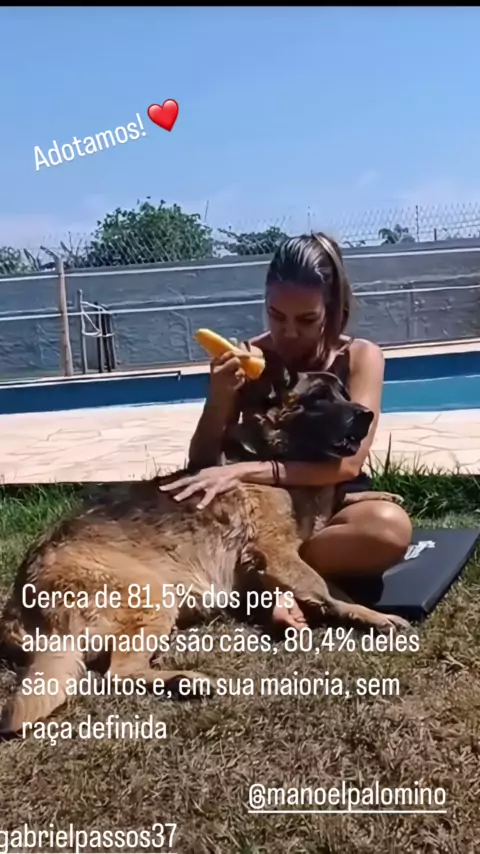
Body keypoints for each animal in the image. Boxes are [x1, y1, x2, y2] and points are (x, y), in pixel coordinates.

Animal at [0, 371, 408, 735]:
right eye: (320, 397)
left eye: (344, 394)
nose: (366, 415)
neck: (272, 452)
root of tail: (18, 607)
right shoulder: (278, 553)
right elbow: (326, 589)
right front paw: (370, 615)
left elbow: (335, 581)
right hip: (152, 594)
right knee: (118, 673)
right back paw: (184, 680)